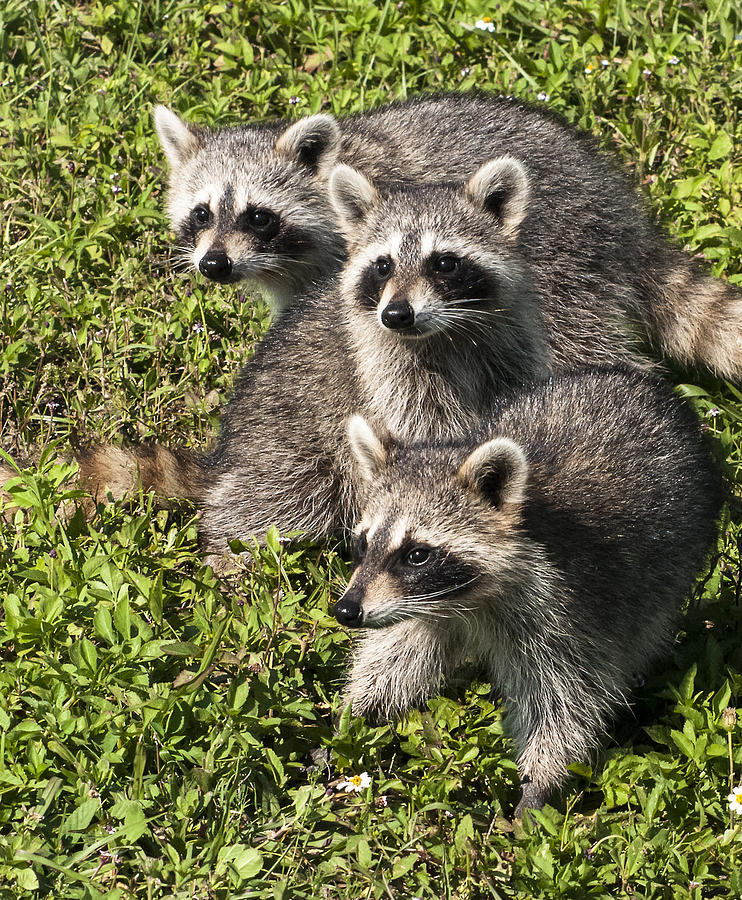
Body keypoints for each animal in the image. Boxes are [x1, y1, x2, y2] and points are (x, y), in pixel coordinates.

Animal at [332, 370, 728, 820]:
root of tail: (639, 382)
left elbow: (566, 699)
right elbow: (395, 657)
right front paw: (354, 713)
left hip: (674, 562)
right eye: (363, 543)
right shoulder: (421, 608)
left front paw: (538, 784)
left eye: (417, 554)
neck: (466, 602)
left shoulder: (565, 609)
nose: (345, 611)